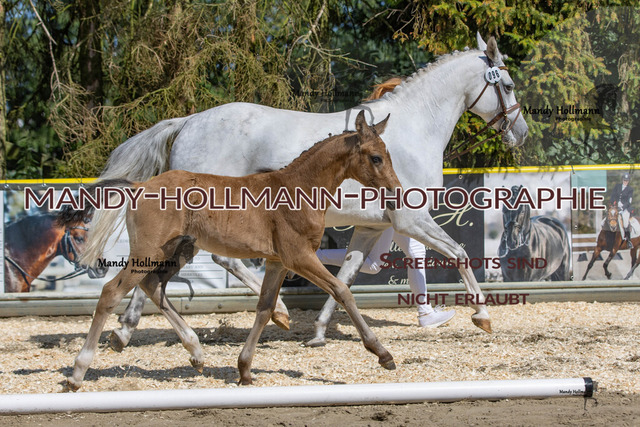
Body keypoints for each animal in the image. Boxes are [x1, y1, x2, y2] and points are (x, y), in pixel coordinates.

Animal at [58, 111, 401, 391]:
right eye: (375, 158)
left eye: (388, 155)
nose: (396, 191)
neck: (297, 188)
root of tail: (139, 187)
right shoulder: (298, 256)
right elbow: (342, 290)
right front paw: (382, 353)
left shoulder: (277, 261)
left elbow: (265, 308)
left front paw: (245, 369)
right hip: (150, 250)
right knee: (112, 292)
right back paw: (78, 373)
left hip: (179, 249)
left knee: (152, 285)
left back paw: (196, 352)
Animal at [90, 34, 528, 348]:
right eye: (507, 84)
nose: (520, 132)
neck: (412, 129)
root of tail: (189, 122)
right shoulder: (411, 218)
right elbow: (459, 253)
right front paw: (482, 316)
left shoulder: (373, 226)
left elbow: (348, 271)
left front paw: (318, 330)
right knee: (215, 262)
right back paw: (277, 310)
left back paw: (126, 331)